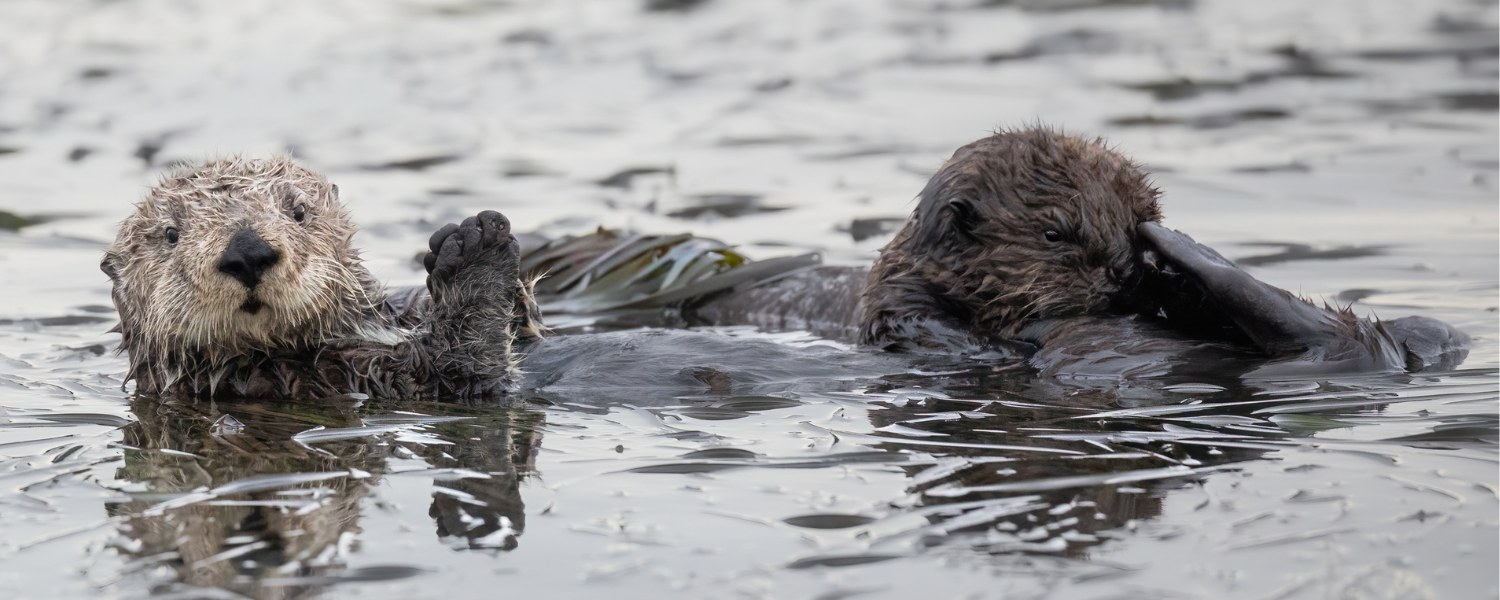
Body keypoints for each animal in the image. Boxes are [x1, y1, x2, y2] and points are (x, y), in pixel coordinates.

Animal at [102, 156, 542, 400]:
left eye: (299, 211)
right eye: (170, 234)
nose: (247, 252)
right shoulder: (359, 379)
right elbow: (469, 372)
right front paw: (476, 249)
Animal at [686, 127, 1468, 375]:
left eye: (1138, 214)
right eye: (1057, 235)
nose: (1129, 264)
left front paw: (1162, 265)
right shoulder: (902, 308)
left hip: (1431, 332)